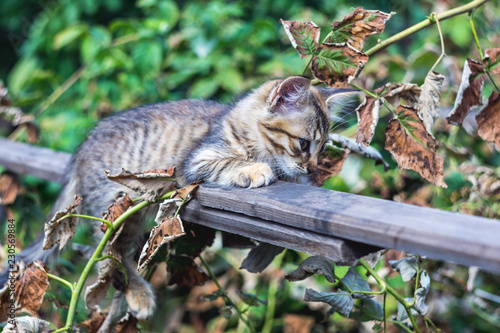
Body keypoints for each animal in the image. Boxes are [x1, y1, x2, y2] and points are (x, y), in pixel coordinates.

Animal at [3, 76, 356, 322]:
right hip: (121, 207)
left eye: (322, 147)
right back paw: (139, 295)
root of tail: (81, 150)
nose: (312, 166)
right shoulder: (195, 163)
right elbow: (231, 163)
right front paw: (254, 169)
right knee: (107, 255)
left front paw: (261, 254)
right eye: (303, 143)